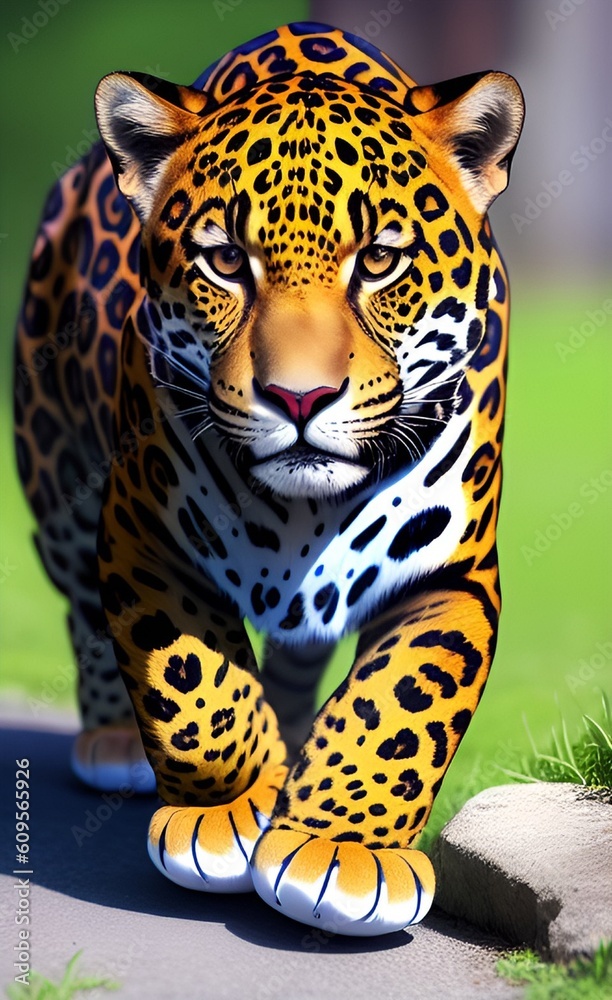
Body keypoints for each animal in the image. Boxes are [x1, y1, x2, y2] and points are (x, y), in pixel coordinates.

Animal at [14, 22, 524, 935]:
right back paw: (116, 742)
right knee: (79, 604)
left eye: (380, 261)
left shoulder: (451, 570)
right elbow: (191, 681)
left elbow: (402, 700)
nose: (299, 397)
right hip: (57, 482)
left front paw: (341, 850)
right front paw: (226, 813)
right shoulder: (144, 533)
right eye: (223, 261)